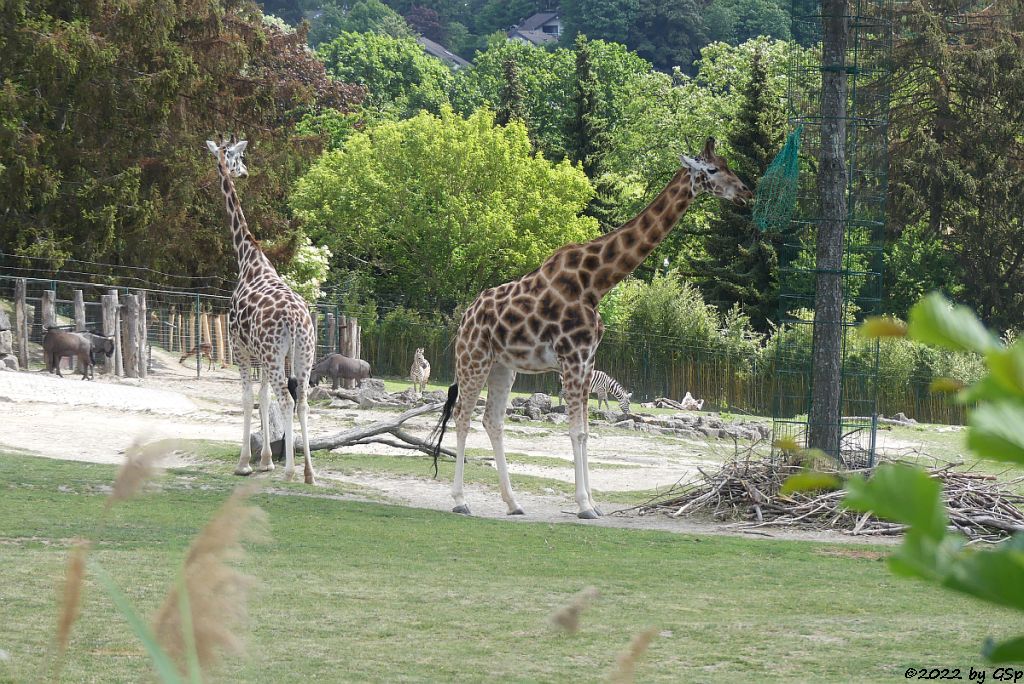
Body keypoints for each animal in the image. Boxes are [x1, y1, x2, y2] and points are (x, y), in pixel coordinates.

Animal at [205, 136, 317, 483]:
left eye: (238, 157)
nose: (243, 172)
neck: (248, 258)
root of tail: (295, 319)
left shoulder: (239, 347)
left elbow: (247, 398)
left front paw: (244, 463)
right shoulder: (265, 355)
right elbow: (264, 398)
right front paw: (266, 460)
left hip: (273, 352)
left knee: (287, 399)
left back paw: (291, 472)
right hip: (303, 352)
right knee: (302, 400)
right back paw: (309, 472)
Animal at [428, 136, 757, 516]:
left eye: (729, 165)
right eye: (713, 169)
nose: (747, 192)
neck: (596, 283)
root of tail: (465, 317)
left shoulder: (587, 362)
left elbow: (586, 431)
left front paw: (593, 503)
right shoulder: (572, 359)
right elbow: (576, 432)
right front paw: (584, 505)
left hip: (503, 366)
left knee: (492, 421)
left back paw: (513, 503)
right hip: (474, 359)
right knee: (462, 416)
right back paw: (461, 500)